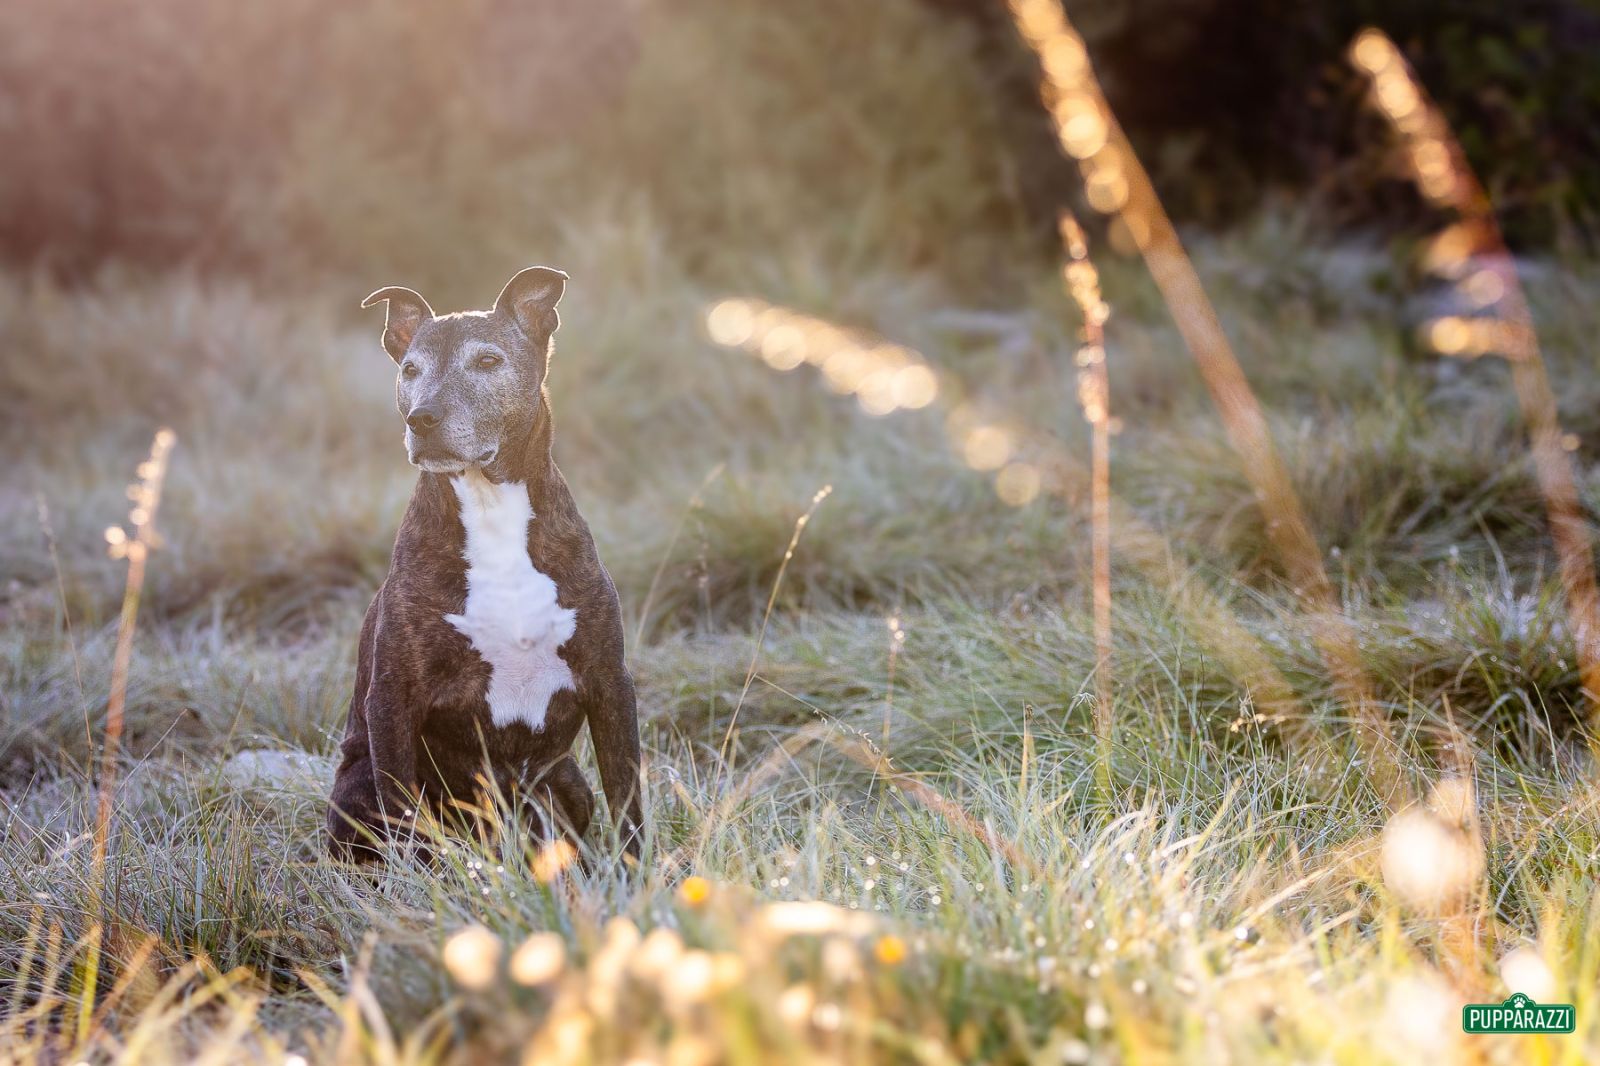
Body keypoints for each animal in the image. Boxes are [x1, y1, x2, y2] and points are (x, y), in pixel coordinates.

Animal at [324, 265, 643, 864]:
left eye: (489, 361)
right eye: (410, 369)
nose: (423, 418)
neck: (491, 507)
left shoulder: (609, 682)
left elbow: (627, 794)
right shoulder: (393, 700)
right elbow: (404, 818)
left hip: (567, 781)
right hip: (355, 785)